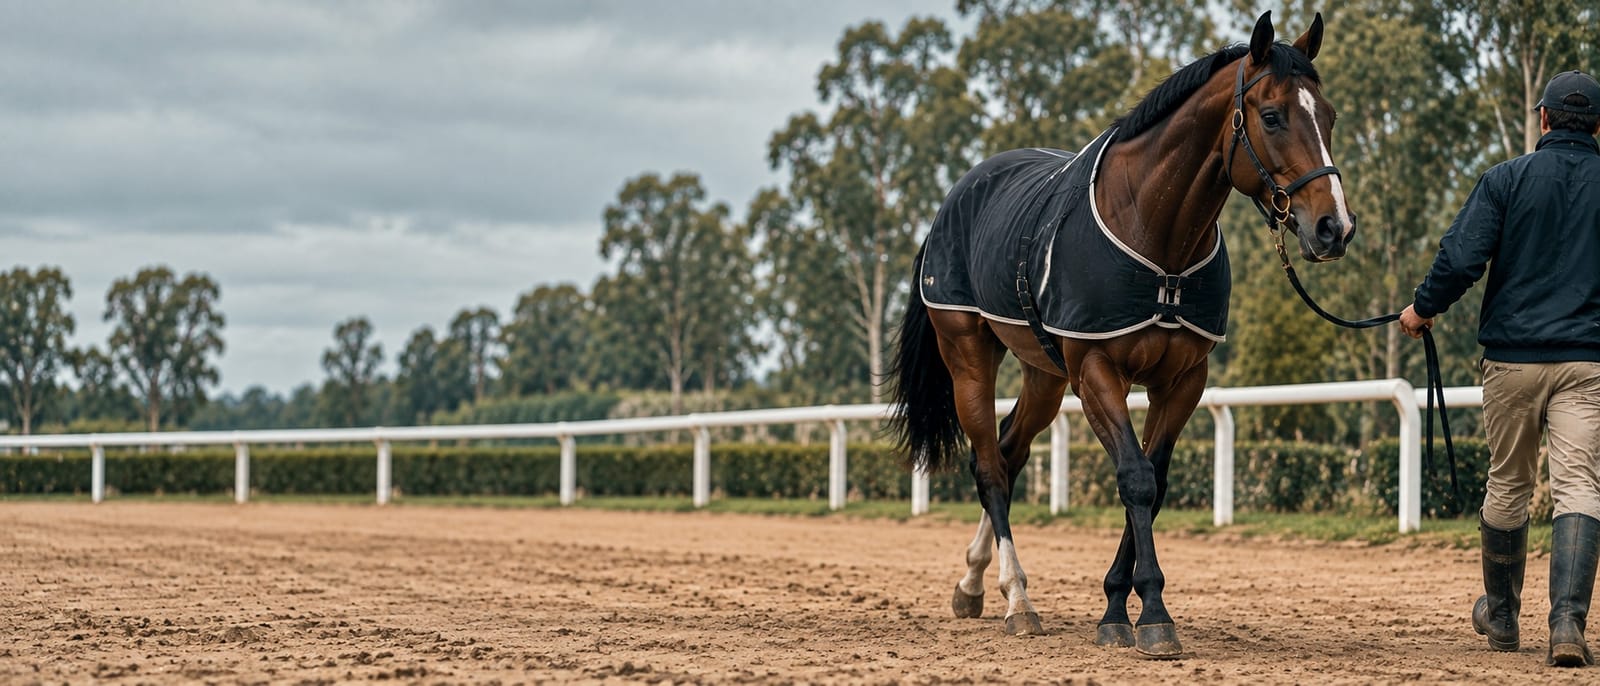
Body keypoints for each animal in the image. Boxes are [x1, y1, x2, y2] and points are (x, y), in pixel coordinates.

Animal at [886, 11, 1353, 658]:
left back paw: (973, 582)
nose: (1334, 227)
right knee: (989, 468)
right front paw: (1146, 612)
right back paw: (1017, 598)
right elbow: (1133, 478)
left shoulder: (1182, 381)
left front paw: (1121, 605)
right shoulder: (1096, 373)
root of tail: (959, 194)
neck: (1157, 238)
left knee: (1009, 450)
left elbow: (1155, 482)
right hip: (968, 355)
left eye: (1327, 114)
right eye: (1273, 115)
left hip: (1043, 374)